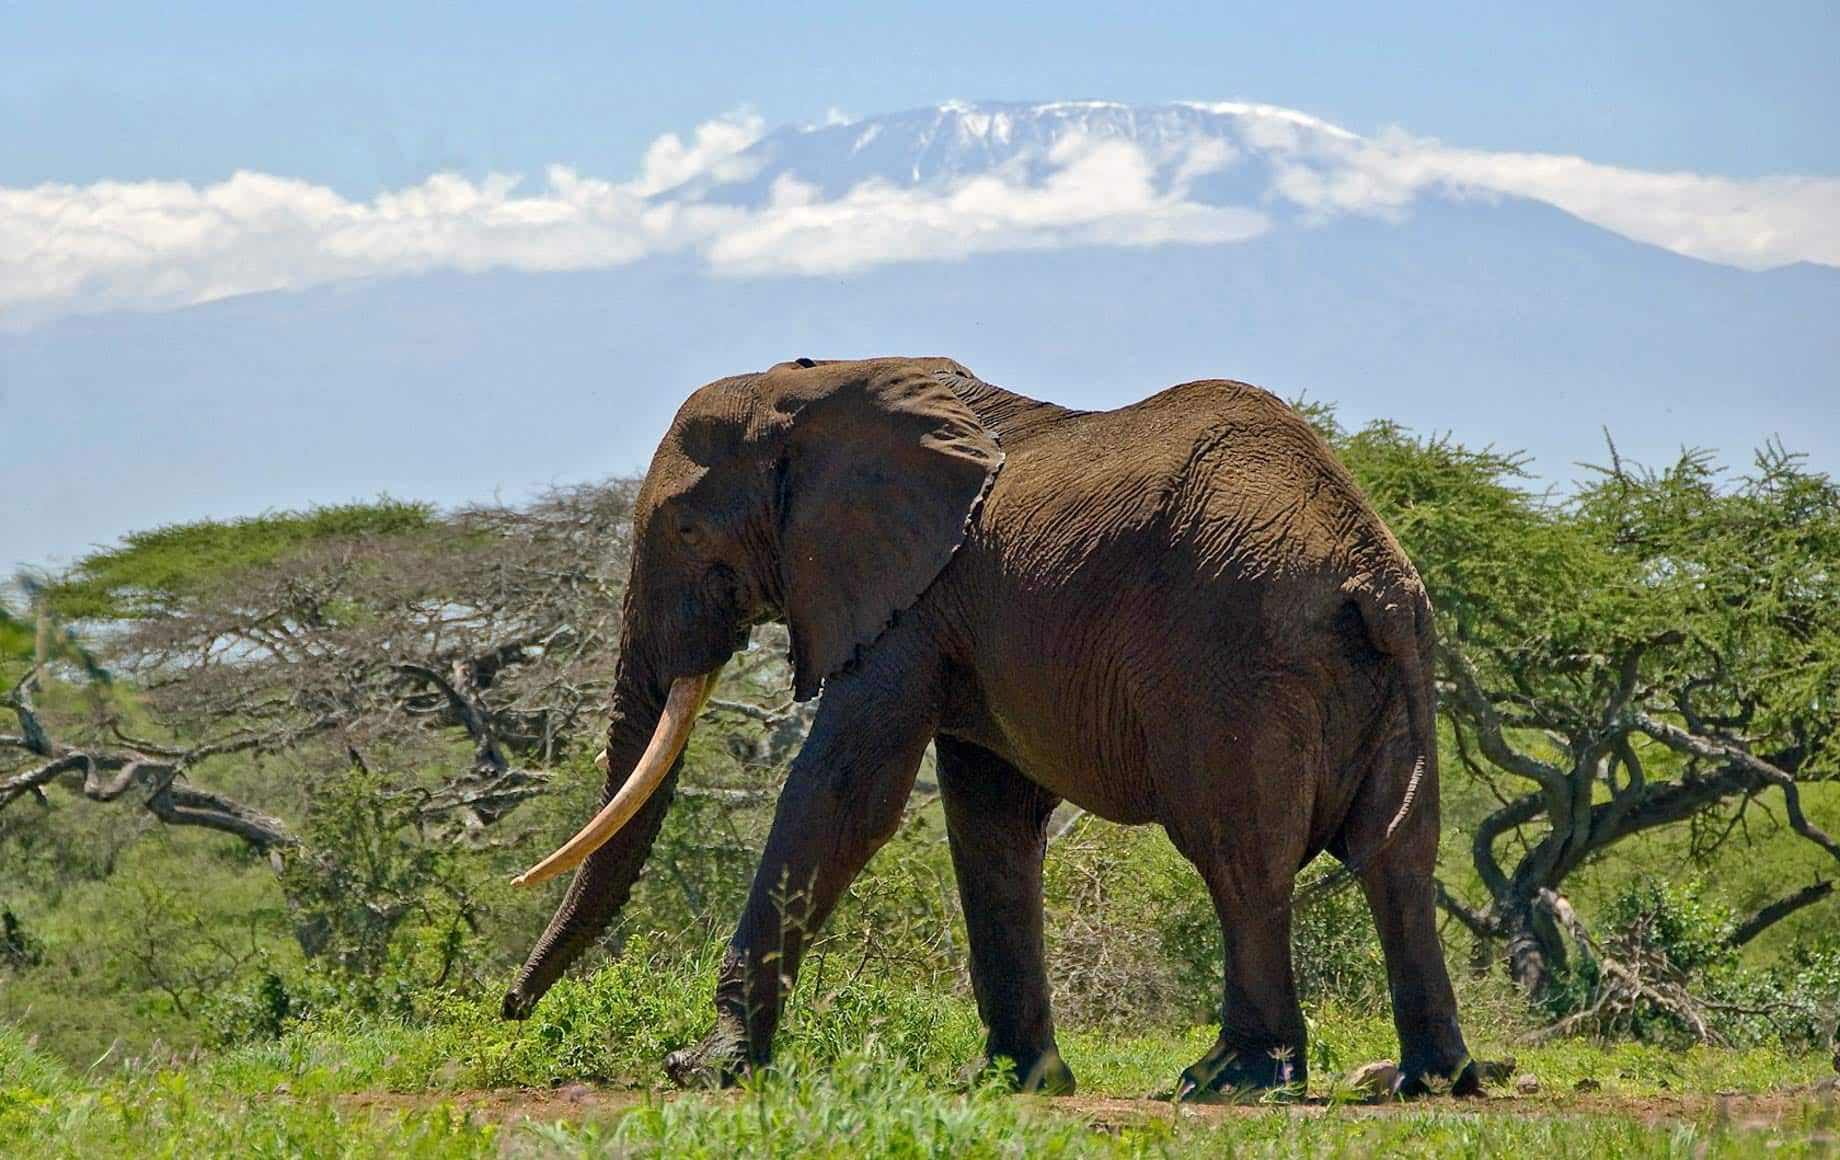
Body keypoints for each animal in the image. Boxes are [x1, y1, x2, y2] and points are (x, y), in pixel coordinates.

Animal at [500, 359, 1479, 1104]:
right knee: (1399, 856)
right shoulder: (963, 619)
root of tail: (1371, 574)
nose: (510, 1009)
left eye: (686, 527)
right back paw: (1435, 1080)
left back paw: (1227, 1081)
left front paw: (705, 1068)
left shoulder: (912, 599)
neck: (817, 386)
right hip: (1395, 666)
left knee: (1241, 856)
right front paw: (1016, 1082)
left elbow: (845, 795)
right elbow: (990, 823)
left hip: (1238, 664)